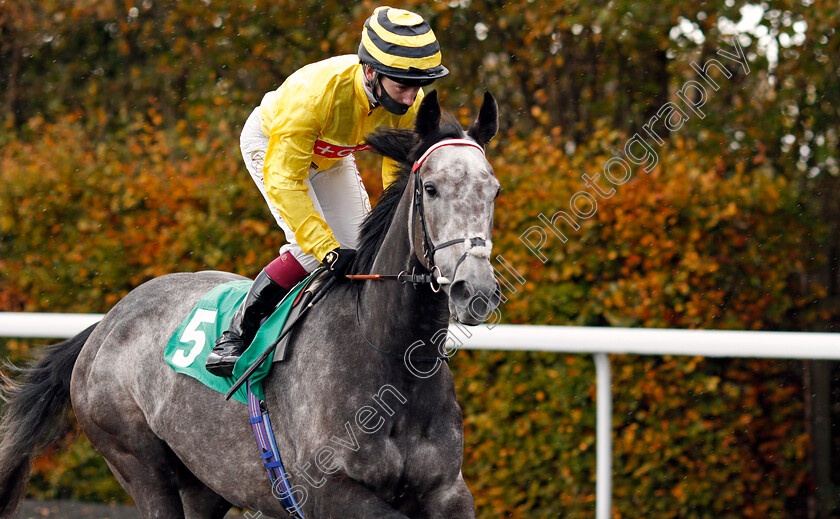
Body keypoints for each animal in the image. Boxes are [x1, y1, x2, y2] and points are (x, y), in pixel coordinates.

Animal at [0, 91, 498, 516]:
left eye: (493, 190)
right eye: (431, 188)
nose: (474, 290)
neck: (389, 354)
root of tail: (105, 324)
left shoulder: (448, 492)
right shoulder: (333, 491)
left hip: (207, 482)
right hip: (138, 464)